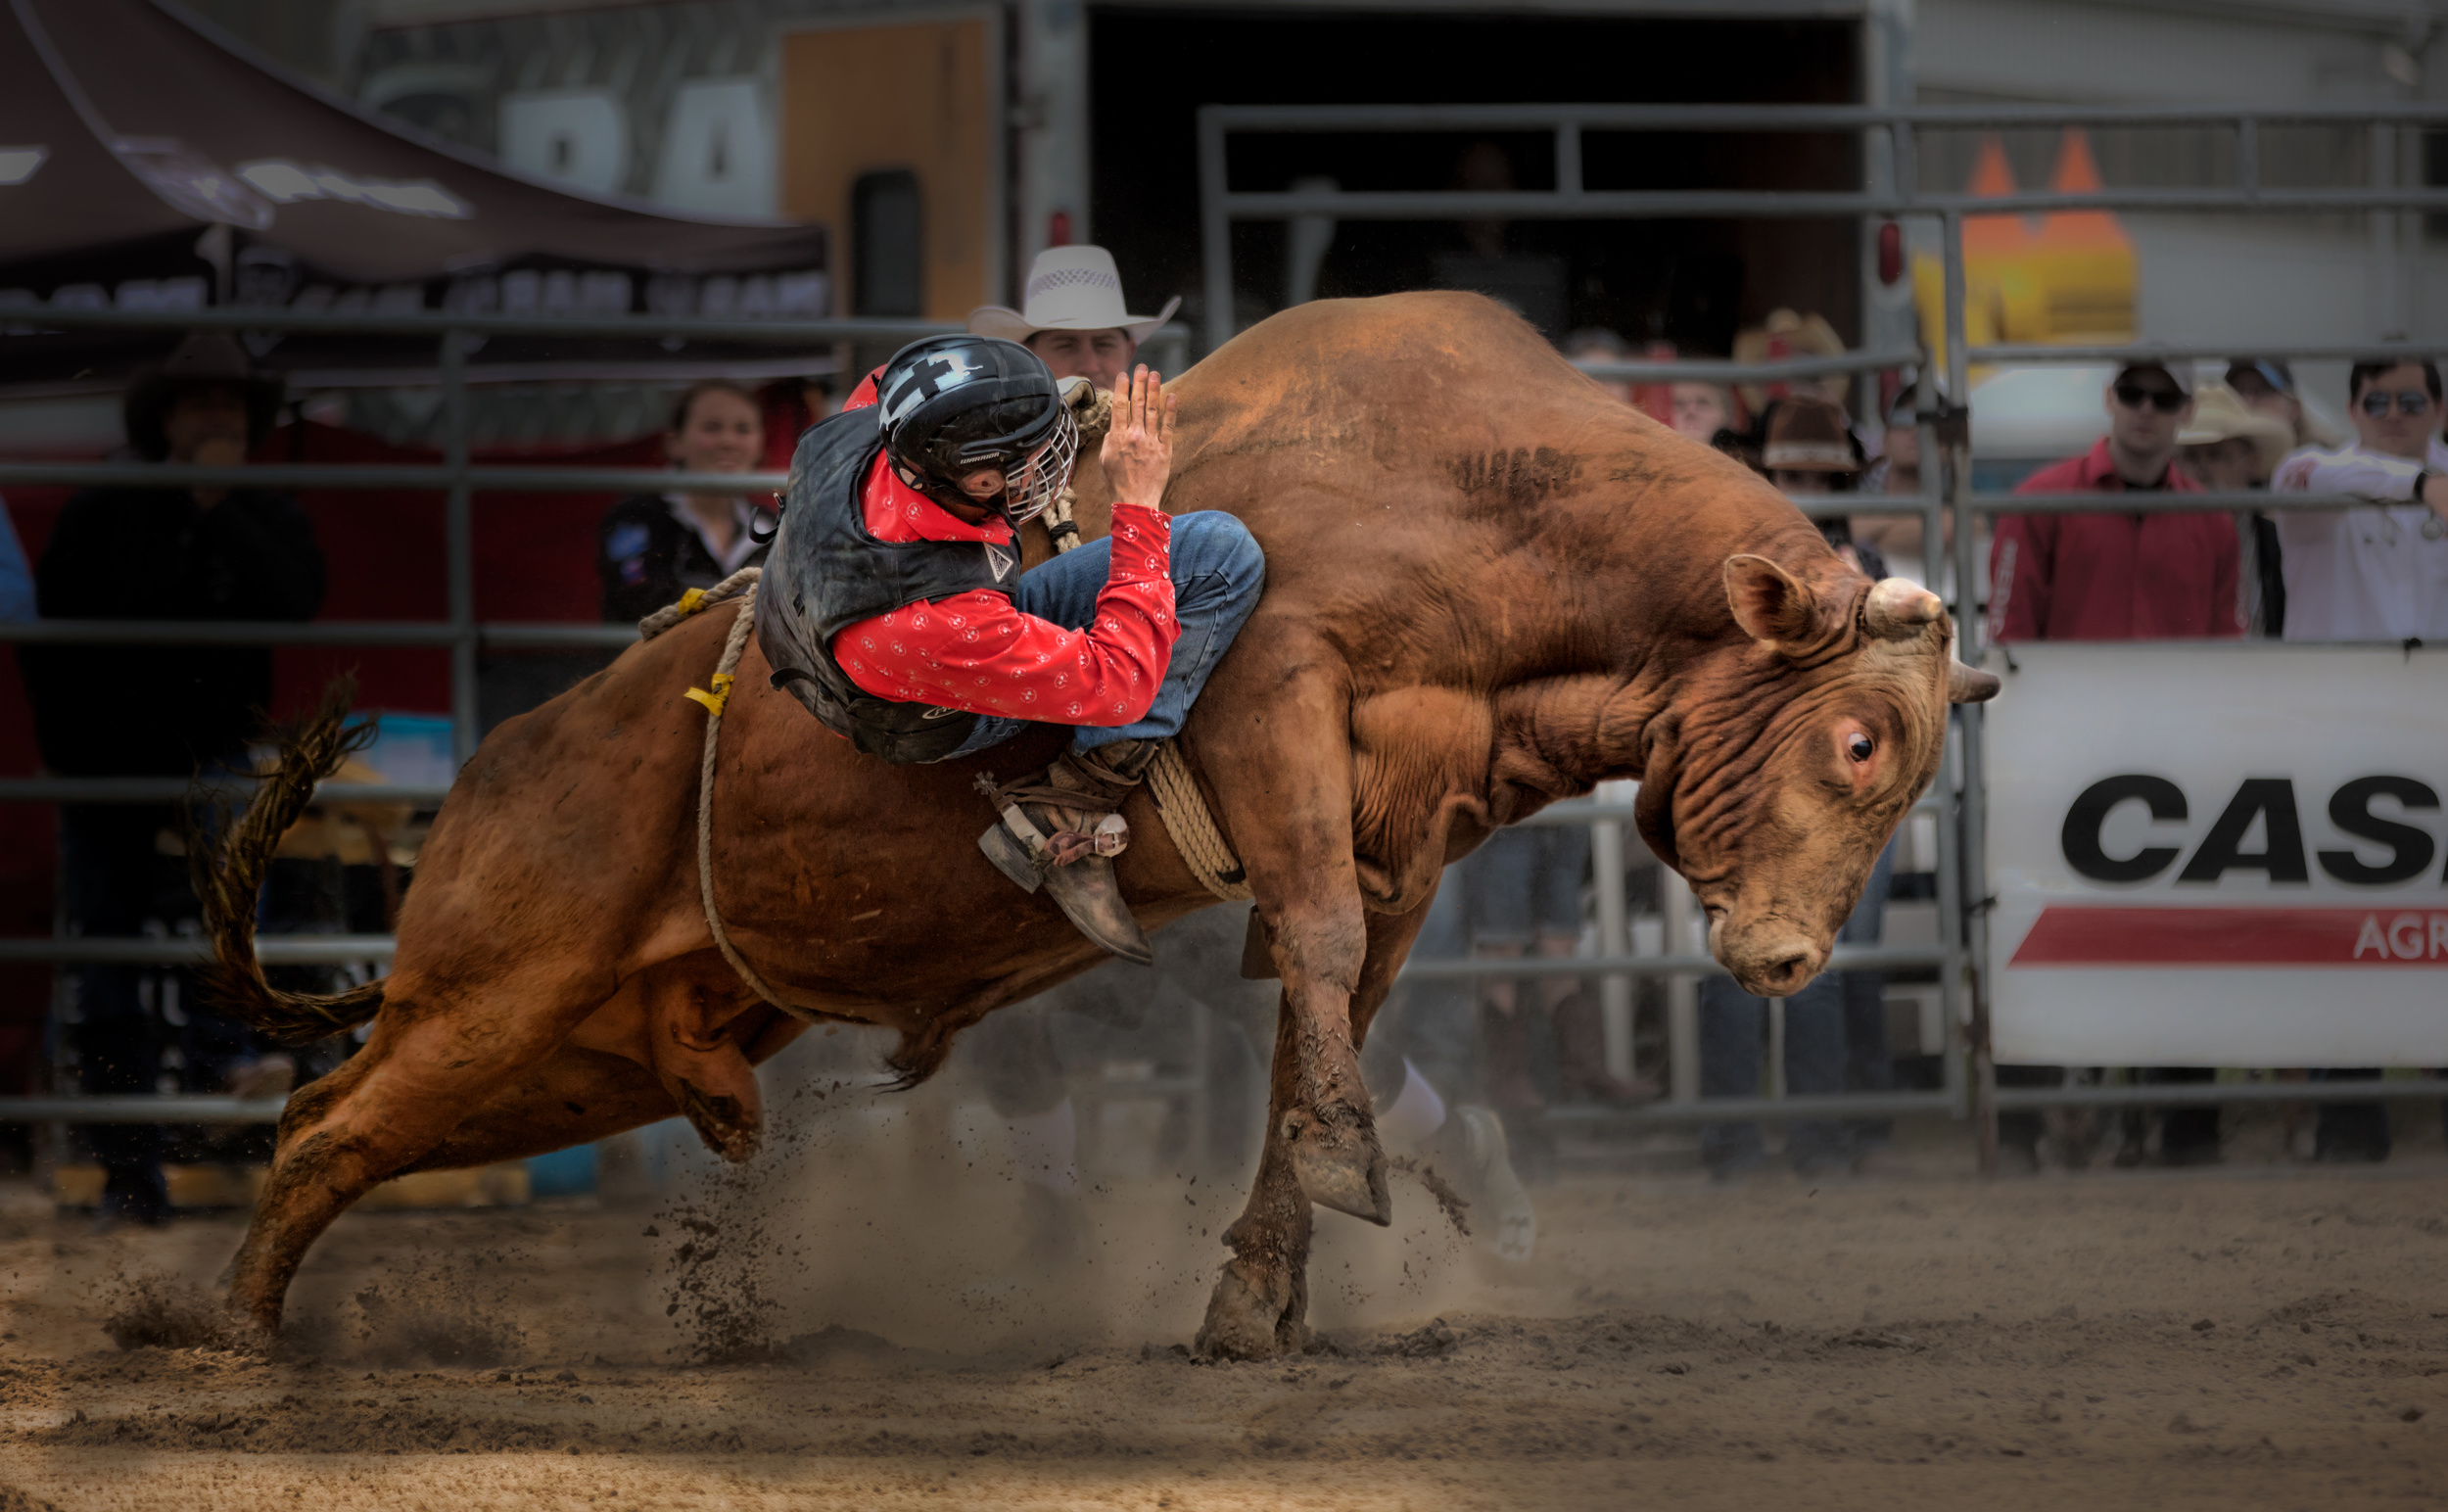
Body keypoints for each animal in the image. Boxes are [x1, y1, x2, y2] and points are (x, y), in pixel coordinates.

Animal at [197, 292, 1997, 1360]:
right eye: (1854, 738)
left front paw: (1256, 1290)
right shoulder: (1278, 695)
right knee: (323, 1124)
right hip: (498, 1001)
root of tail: (496, 766)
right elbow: (1314, 962)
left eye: (1910, 776)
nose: (1789, 957)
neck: (1470, 500)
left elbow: (1321, 1018)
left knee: (338, 1116)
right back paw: (233, 1335)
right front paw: (1335, 1178)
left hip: (583, 1050)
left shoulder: (1404, 843)